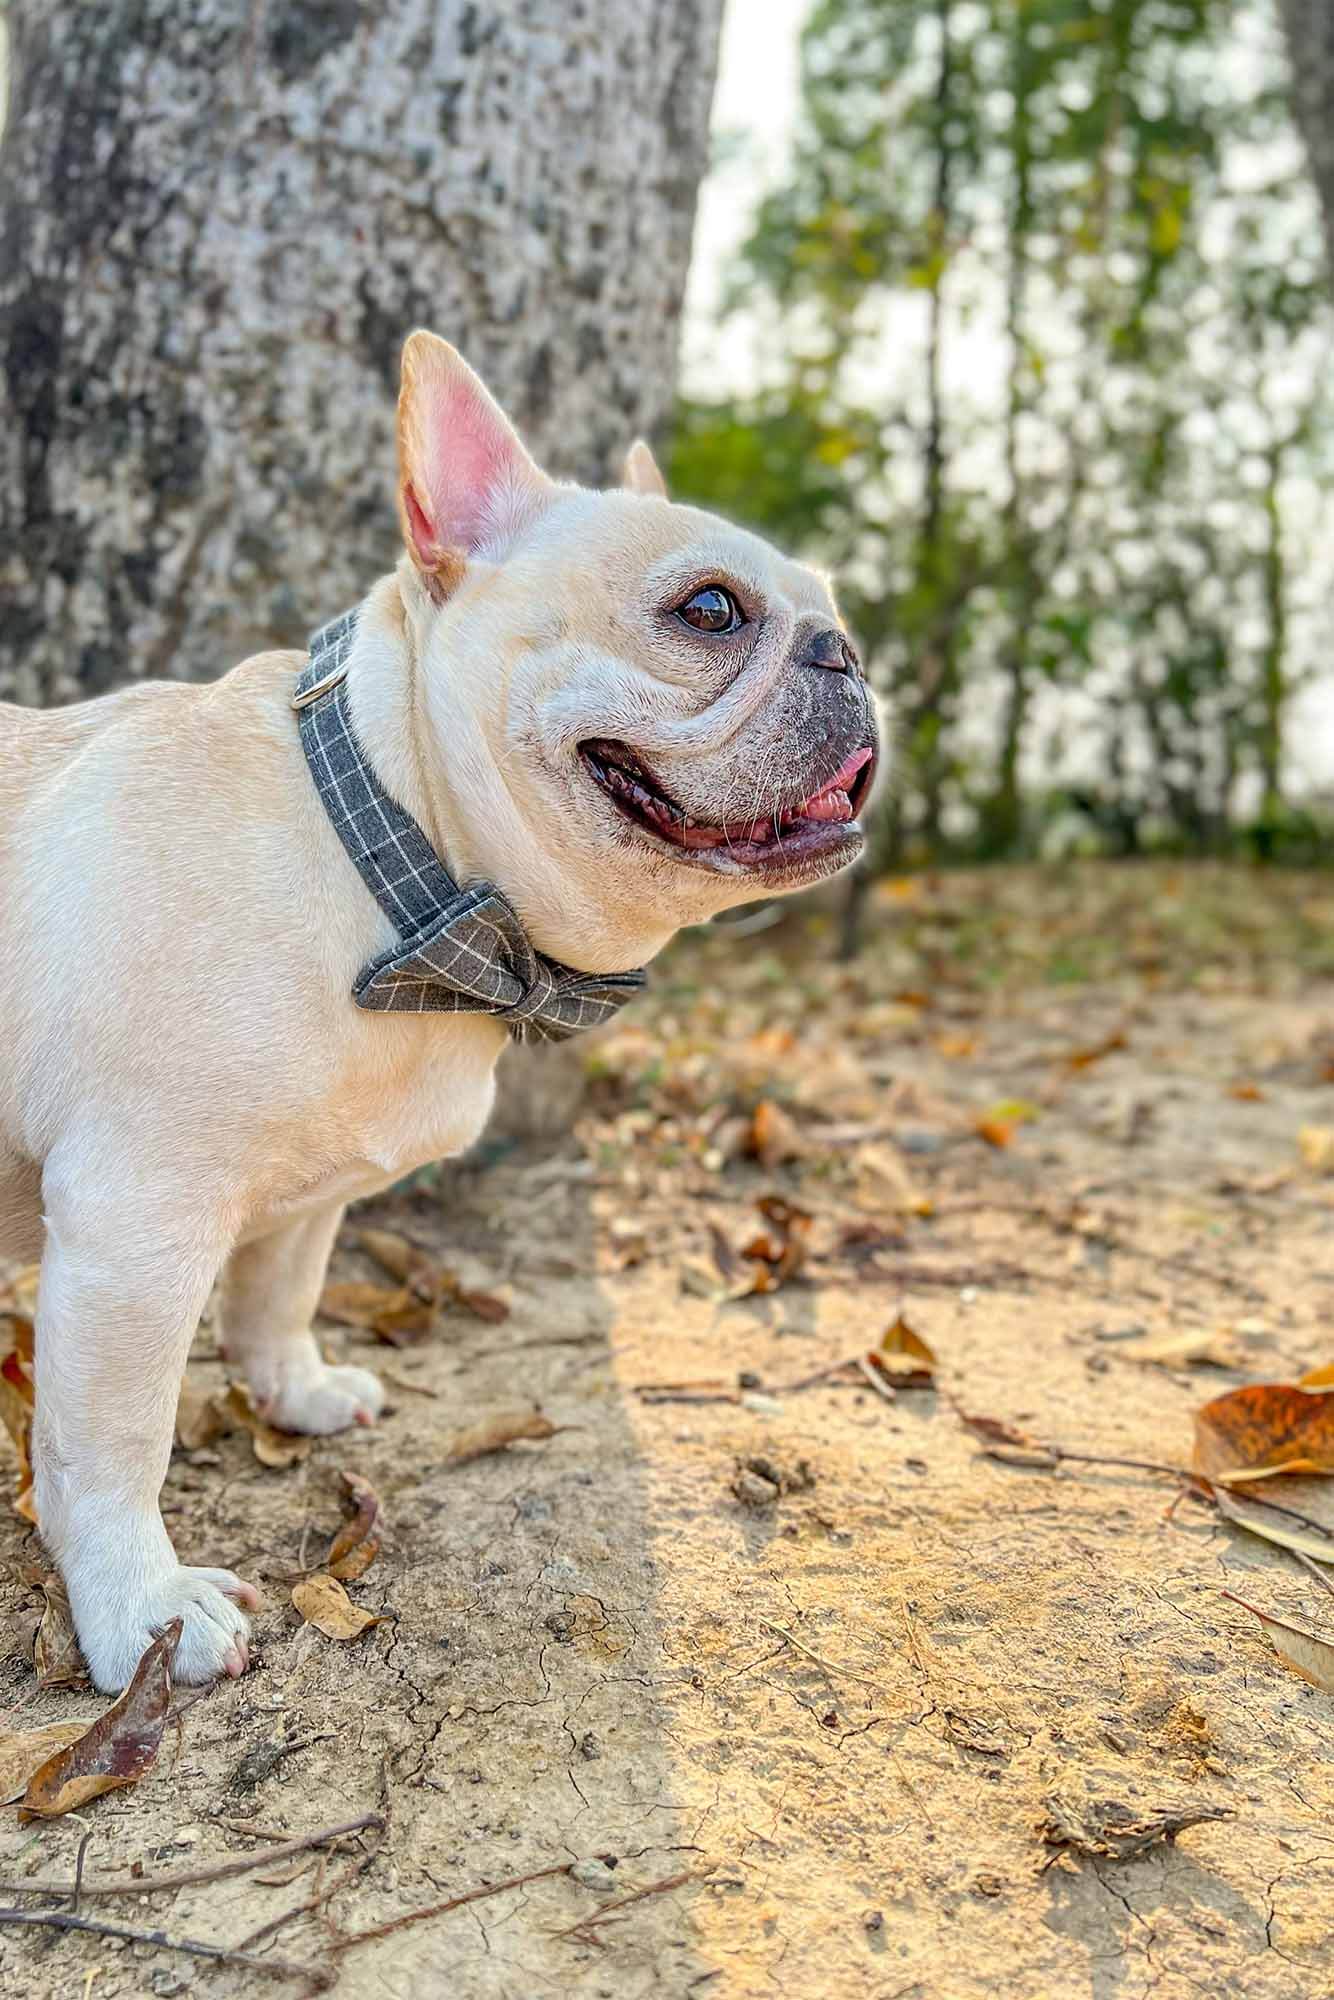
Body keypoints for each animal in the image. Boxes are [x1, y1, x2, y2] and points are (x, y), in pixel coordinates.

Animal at [0, 332, 880, 1688]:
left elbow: (280, 1290)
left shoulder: (309, 1186)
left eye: (834, 606)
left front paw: (293, 1390)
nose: (843, 649)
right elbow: (109, 1439)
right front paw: (142, 1606)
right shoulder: (131, 1225)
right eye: (710, 610)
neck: (397, 859)